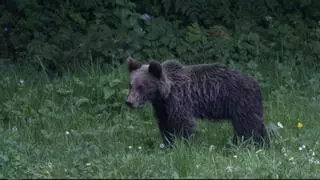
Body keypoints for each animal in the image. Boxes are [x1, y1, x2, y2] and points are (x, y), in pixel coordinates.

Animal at [125, 57, 270, 148]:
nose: (129, 102)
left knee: (248, 125)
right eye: (130, 85)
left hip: (241, 101)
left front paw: (184, 144)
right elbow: (165, 125)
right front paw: (168, 144)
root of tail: (255, 82)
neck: (165, 94)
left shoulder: (180, 101)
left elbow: (184, 124)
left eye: (141, 87)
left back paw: (252, 144)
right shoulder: (162, 108)